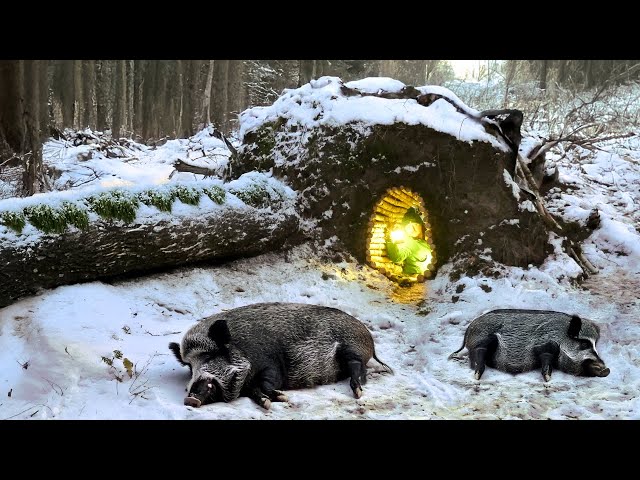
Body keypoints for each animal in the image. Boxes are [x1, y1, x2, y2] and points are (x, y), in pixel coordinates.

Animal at [450, 308, 608, 382]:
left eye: (595, 345)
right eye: (584, 343)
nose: (606, 369)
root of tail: (469, 328)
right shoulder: (543, 344)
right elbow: (546, 357)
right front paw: (548, 379)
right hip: (485, 339)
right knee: (479, 351)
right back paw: (476, 376)